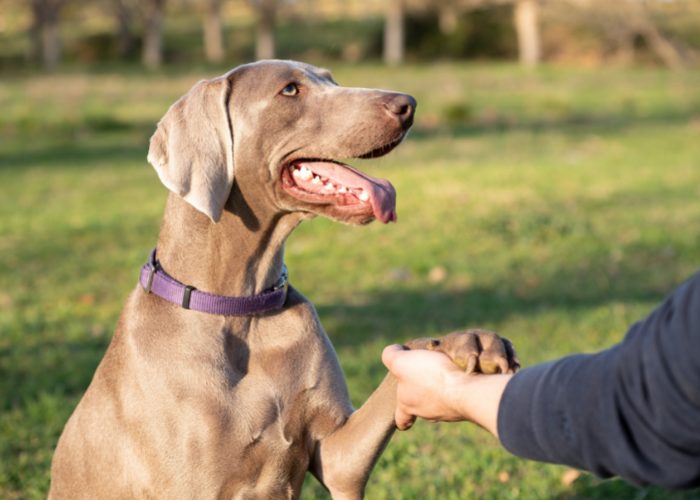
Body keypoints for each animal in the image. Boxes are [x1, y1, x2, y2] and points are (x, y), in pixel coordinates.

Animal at [49, 60, 516, 498]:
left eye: (332, 79)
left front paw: (469, 342)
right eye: (290, 90)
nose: (408, 104)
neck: (243, 306)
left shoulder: (339, 456)